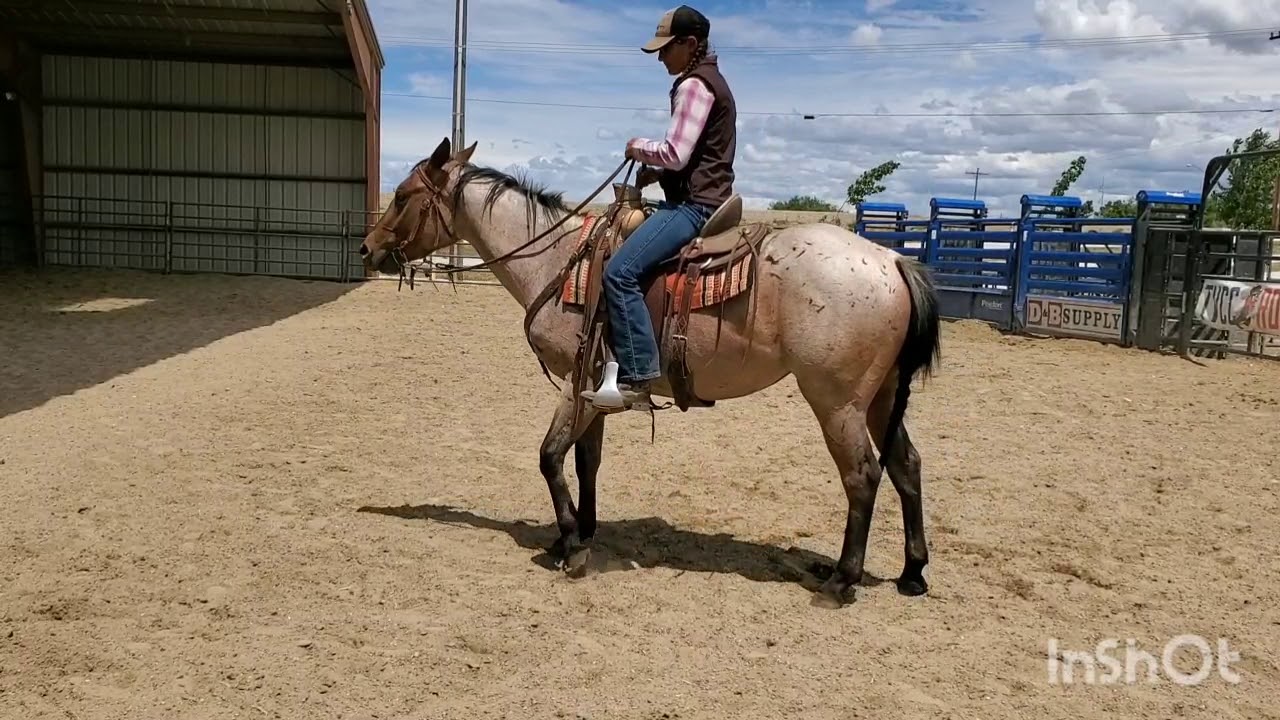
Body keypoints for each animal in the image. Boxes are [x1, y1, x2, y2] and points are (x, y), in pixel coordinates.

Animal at [358, 137, 942, 608]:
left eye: (404, 195)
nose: (368, 248)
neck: (558, 262)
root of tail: (892, 262)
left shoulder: (574, 381)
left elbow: (550, 457)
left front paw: (570, 547)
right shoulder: (595, 390)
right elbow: (586, 462)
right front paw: (581, 532)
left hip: (837, 401)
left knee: (863, 475)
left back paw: (841, 581)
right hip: (881, 396)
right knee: (906, 465)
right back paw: (912, 572)